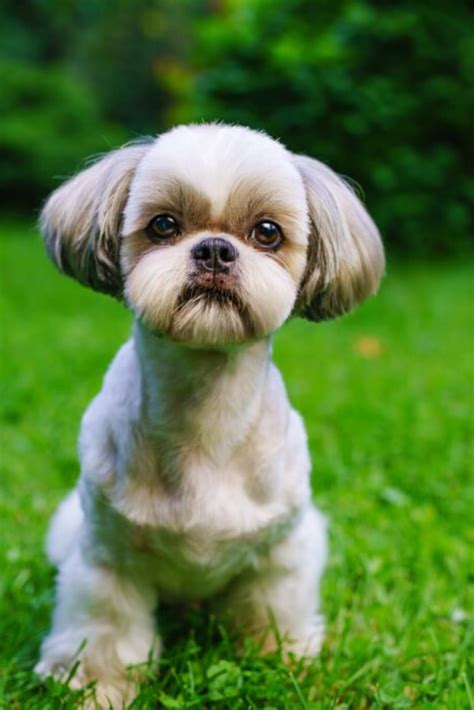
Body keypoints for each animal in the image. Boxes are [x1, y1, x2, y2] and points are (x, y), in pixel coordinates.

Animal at [37, 124, 386, 708]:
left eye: (267, 232)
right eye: (163, 225)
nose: (216, 249)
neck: (205, 419)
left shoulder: (281, 554)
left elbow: (273, 616)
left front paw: (281, 665)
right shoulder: (107, 560)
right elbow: (106, 634)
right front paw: (98, 689)